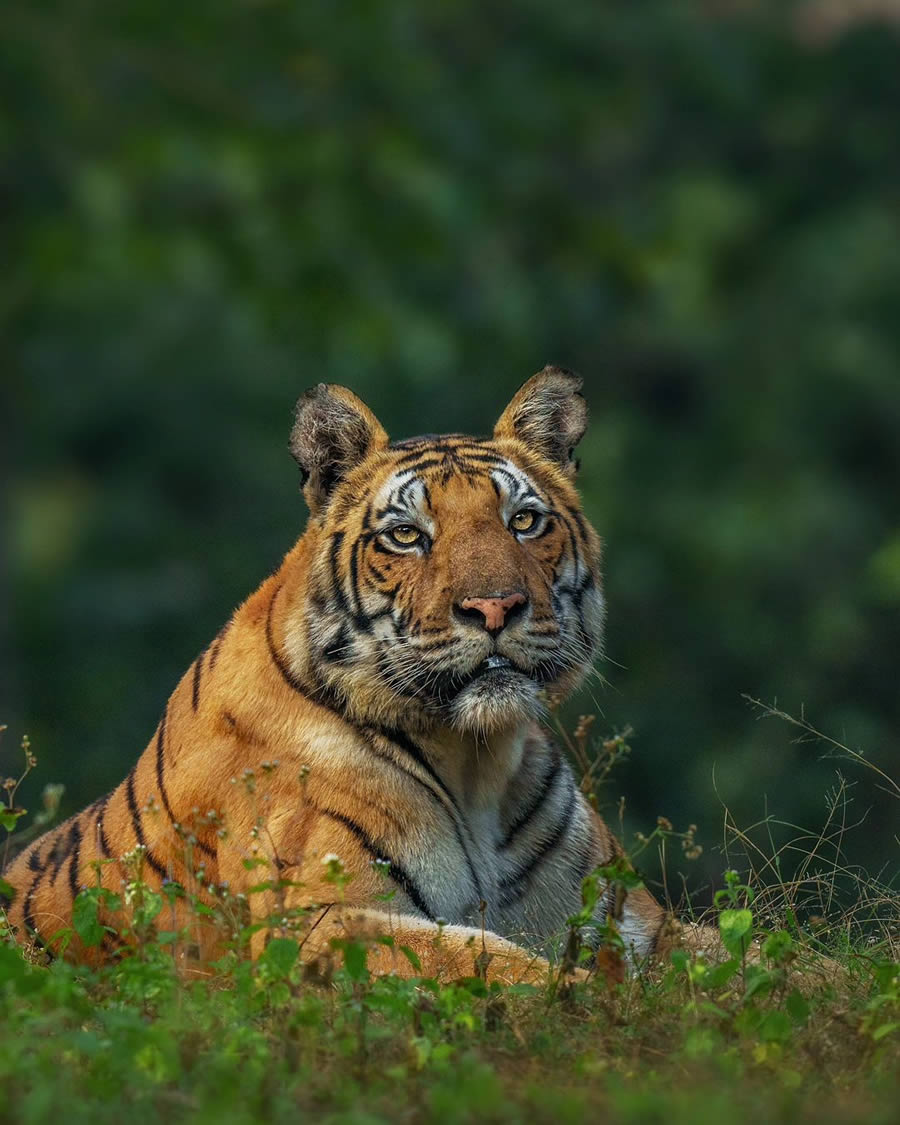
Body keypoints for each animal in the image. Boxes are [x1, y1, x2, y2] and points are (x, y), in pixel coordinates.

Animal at [0, 364, 715, 981]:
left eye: (523, 521)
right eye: (406, 535)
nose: (494, 607)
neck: (476, 761)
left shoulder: (631, 915)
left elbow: (730, 955)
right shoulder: (318, 922)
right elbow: (490, 963)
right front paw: (591, 999)